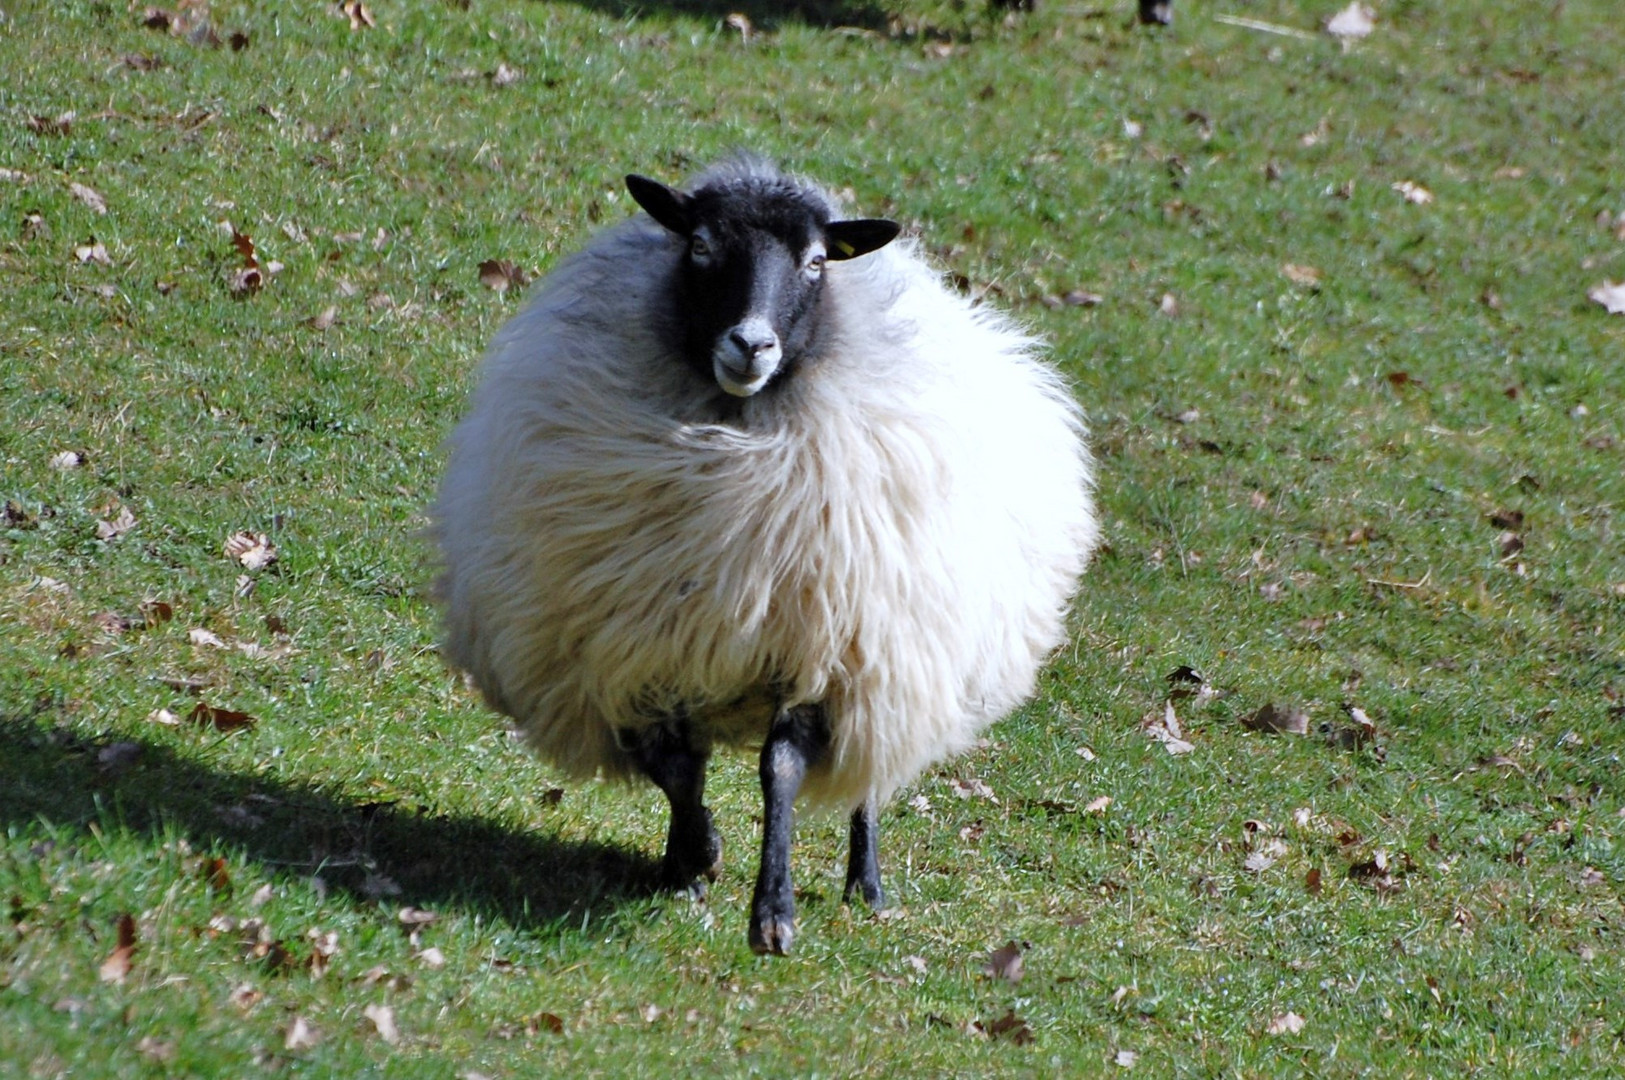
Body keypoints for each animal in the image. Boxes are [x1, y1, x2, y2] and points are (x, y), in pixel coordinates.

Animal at [432, 153, 1098, 954]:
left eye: (815, 262)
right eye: (699, 245)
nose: (750, 345)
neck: (733, 442)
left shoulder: (822, 653)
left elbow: (778, 770)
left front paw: (771, 912)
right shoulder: (628, 649)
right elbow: (675, 766)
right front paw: (693, 857)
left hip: (894, 653)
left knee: (867, 776)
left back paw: (865, 884)